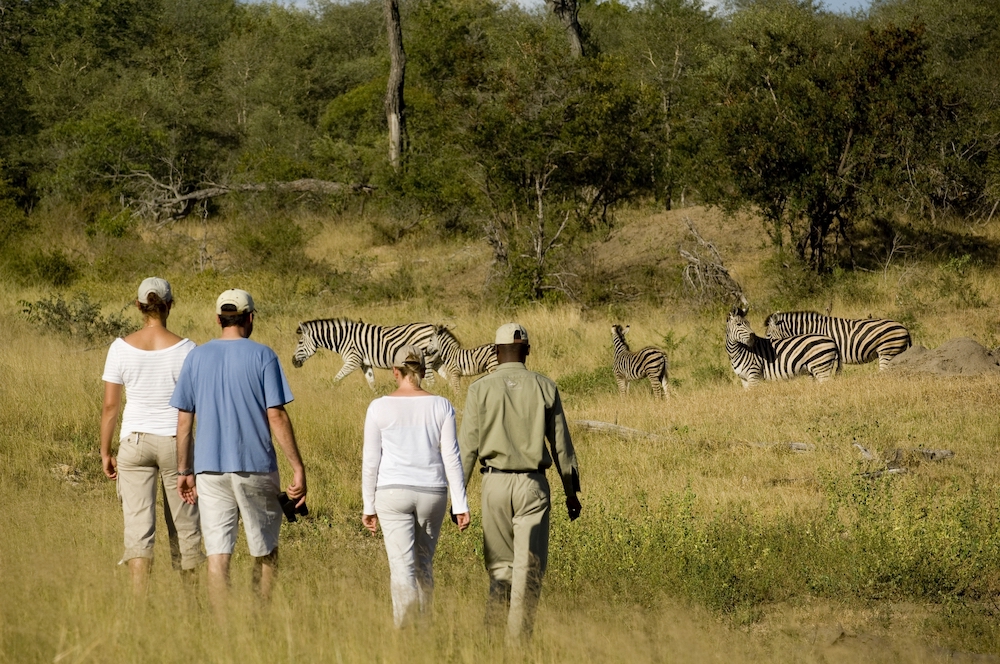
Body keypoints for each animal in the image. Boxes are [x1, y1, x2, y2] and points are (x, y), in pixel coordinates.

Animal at [294, 316, 440, 390]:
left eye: (300, 342)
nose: (293, 362)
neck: (342, 338)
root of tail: (432, 327)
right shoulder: (365, 363)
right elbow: (371, 382)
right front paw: (374, 398)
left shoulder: (353, 360)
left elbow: (336, 378)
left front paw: (331, 392)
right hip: (436, 360)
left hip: (425, 359)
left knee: (431, 381)